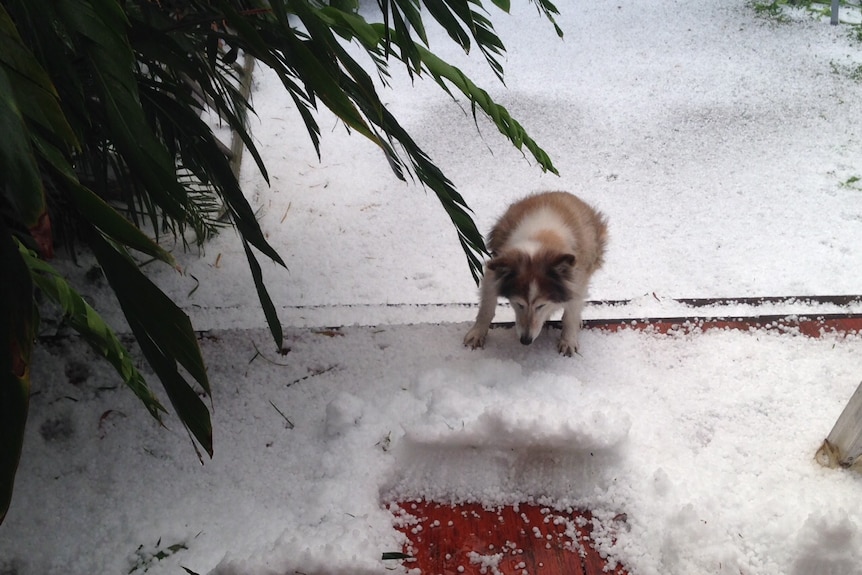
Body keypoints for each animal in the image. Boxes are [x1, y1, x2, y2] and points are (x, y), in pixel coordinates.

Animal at [466, 191, 608, 358]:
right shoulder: (493, 271)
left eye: (541, 305)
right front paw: (477, 334)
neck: (542, 239)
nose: (525, 341)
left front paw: (568, 342)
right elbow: (486, 307)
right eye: (519, 304)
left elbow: (570, 314)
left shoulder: (577, 281)